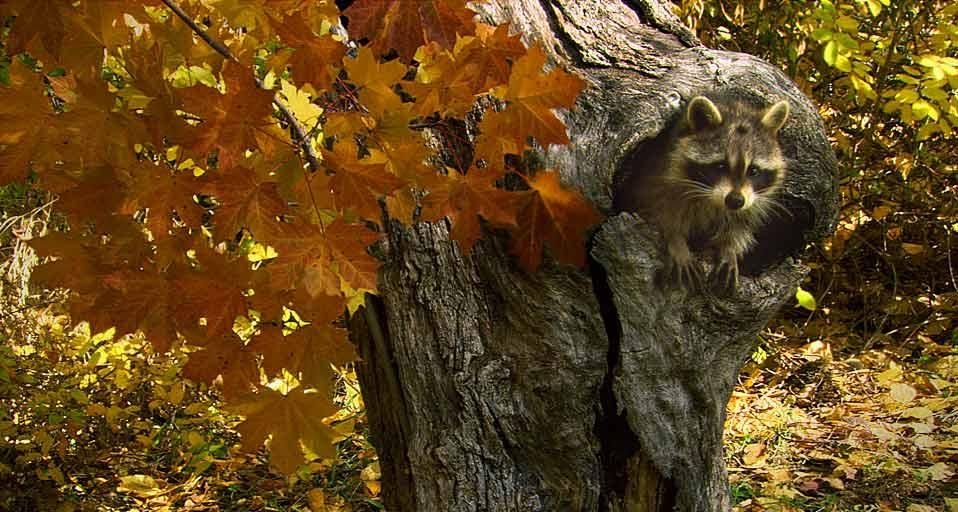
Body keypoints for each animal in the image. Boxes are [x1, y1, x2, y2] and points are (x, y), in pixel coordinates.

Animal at [616, 93, 790, 294]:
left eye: (753, 171)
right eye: (720, 166)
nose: (735, 200)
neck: (711, 199)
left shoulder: (751, 201)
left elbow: (740, 224)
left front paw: (729, 249)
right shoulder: (654, 179)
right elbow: (657, 213)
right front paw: (676, 241)